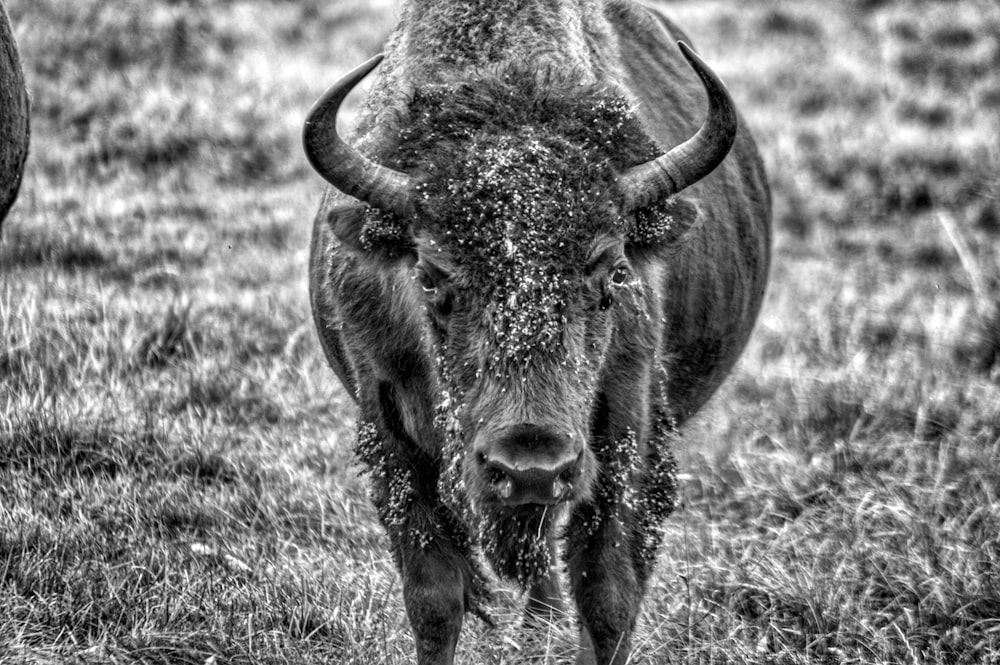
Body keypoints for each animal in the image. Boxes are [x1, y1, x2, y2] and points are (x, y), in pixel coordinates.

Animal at [300, 2, 768, 660]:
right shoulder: (390, 435)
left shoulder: (627, 439)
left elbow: (608, 597)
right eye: (429, 277)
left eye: (613, 271)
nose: (531, 467)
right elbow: (434, 598)